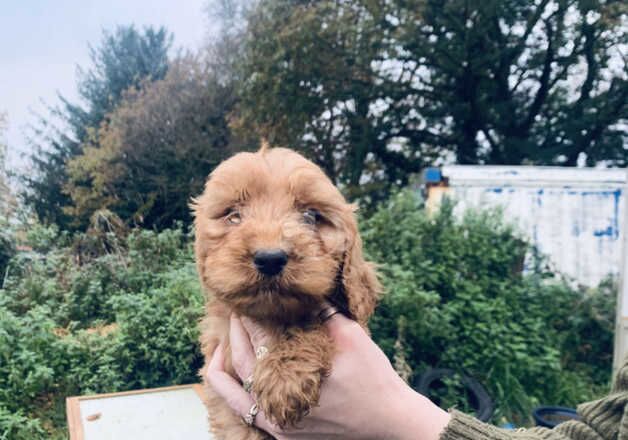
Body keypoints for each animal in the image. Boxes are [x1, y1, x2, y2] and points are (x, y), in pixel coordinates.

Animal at [191, 146, 380, 438]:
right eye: (233, 215)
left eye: (311, 216)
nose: (270, 259)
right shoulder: (223, 399)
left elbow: (306, 321)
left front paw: (285, 377)